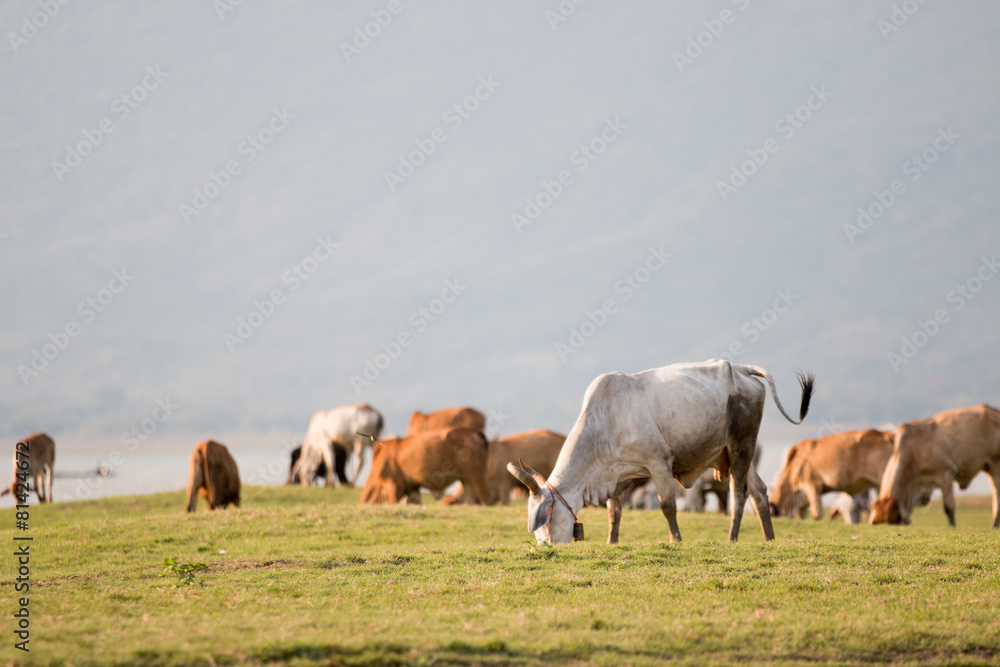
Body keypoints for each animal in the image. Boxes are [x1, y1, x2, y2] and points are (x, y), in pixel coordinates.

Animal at [360, 427, 490, 505]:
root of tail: (475, 432)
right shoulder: (413, 487)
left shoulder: (395, 486)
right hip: (467, 480)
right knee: (471, 501)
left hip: (477, 478)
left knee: (485, 499)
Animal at [507, 360, 814, 544]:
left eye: (545, 519)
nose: (546, 547)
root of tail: (739, 368)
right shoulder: (617, 475)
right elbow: (614, 512)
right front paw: (611, 541)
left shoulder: (659, 463)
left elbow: (667, 506)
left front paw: (676, 540)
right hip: (735, 453)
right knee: (759, 491)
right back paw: (769, 538)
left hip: (741, 445)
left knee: (738, 493)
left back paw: (732, 537)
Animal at [870, 404, 1000, 528]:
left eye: (895, 522)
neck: (914, 451)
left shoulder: (946, 475)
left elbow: (949, 507)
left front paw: (953, 527)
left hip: (996, 463)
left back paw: (994, 525)